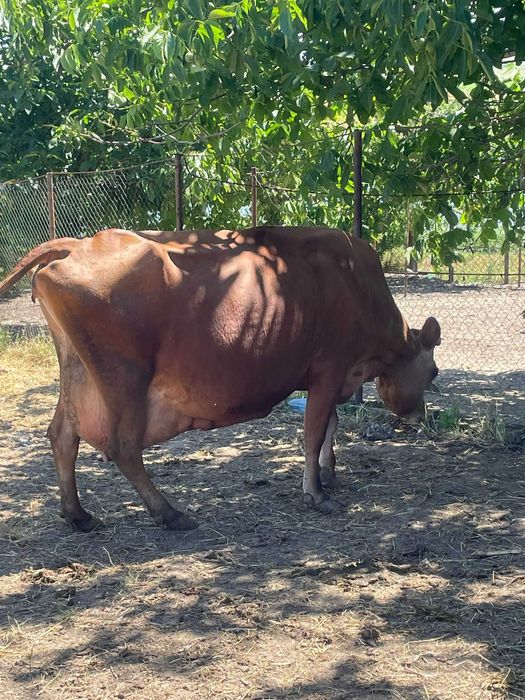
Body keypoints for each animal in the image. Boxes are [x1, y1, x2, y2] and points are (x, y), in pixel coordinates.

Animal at [0, 226, 440, 532]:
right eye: (434, 371)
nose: (421, 416)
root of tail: (80, 244)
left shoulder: (328, 379)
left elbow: (330, 425)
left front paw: (329, 473)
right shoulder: (328, 371)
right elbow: (315, 430)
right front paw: (315, 493)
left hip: (77, 373)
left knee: (62, 435)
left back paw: (78, 514)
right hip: (124, 379)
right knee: (123, 447)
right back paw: (169, 513)